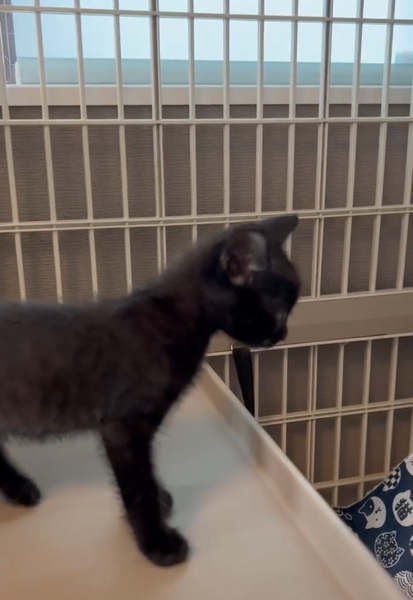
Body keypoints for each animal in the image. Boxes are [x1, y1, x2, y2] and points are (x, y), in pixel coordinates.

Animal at [0, 215, 300, 567]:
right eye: (278, 313)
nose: (284, 334)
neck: (172, 319)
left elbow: (148, 472)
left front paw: (160, 500)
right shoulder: (123, 427)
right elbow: (138, 486)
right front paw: (157, 544)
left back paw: (20, 488)